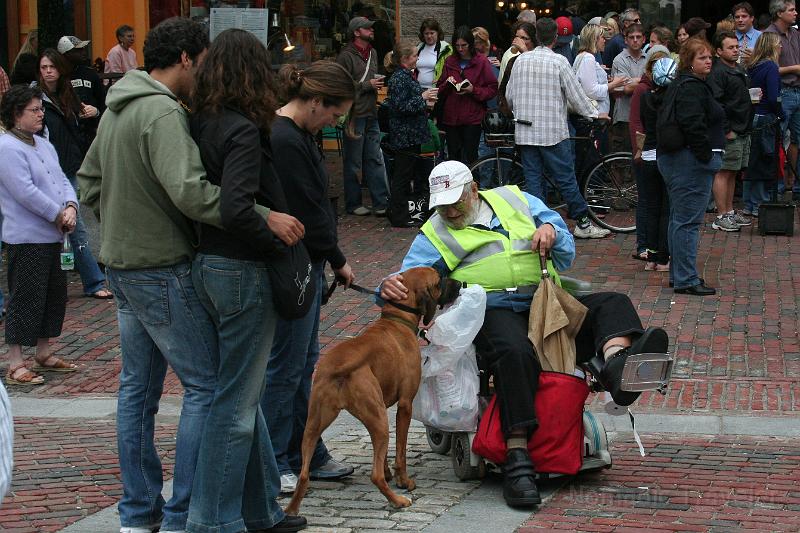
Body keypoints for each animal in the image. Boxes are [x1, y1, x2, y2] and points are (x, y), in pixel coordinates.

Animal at [288, 266, 462, 512]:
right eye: (439, 280)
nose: (460, 283)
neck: (397, 320)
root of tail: (339, 366)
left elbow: (384, 452)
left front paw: (391, 473)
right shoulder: (404, 406)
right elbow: (400, 451)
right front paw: (403, 481)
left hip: (315, 425)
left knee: (304, 475)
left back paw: (291, 510)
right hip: (379, 422)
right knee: (375, 475)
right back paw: (398, 500)